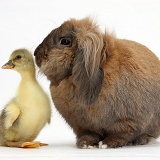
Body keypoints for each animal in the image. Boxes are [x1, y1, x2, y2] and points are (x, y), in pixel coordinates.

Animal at [33, 16, 160, 148]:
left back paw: (141, 140)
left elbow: (122, 134)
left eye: (65, 41)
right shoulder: (82, 125)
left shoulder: (126, 122)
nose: (36, 53)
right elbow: (89, 134)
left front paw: (108, 144)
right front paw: (84, 144)